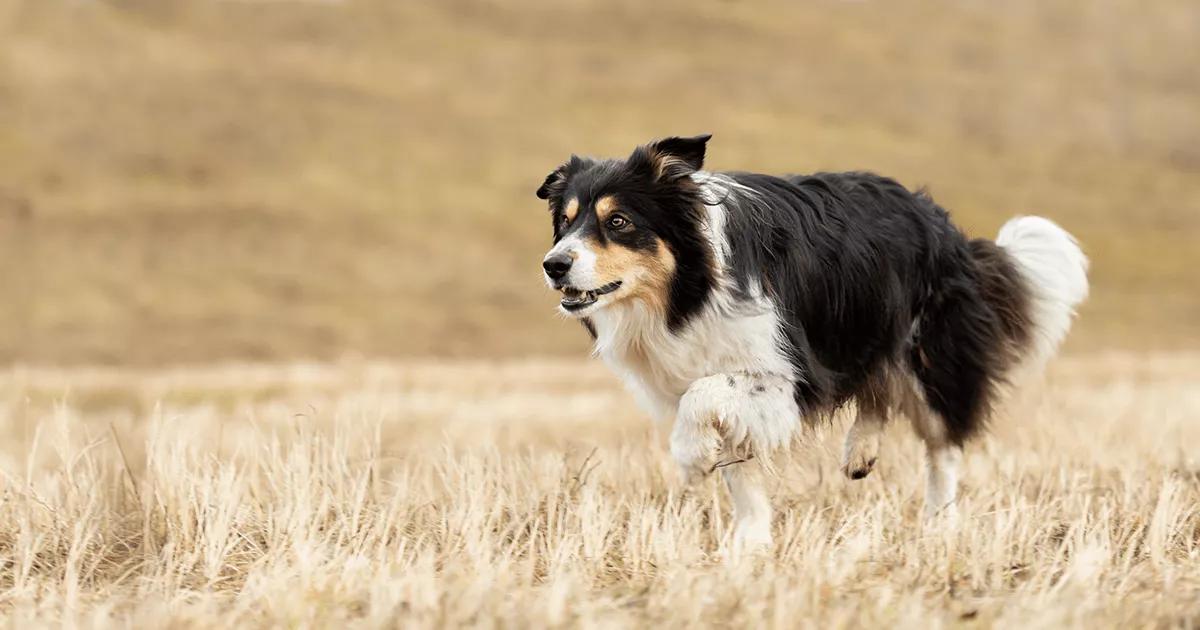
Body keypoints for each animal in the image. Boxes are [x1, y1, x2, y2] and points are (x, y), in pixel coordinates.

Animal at [535, 135, 1089, 547]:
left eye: (618, 221)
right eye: (565, 221)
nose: (553, 265)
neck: (688, 289)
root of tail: (948, 229)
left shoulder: (788, 371)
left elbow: (702, 397)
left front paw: (691, 458)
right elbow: (741, 468)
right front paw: (750, 545)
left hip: (928, 350)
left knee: (943, 443)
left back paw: (939, 522)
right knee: (877, 391)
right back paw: (861, 452)